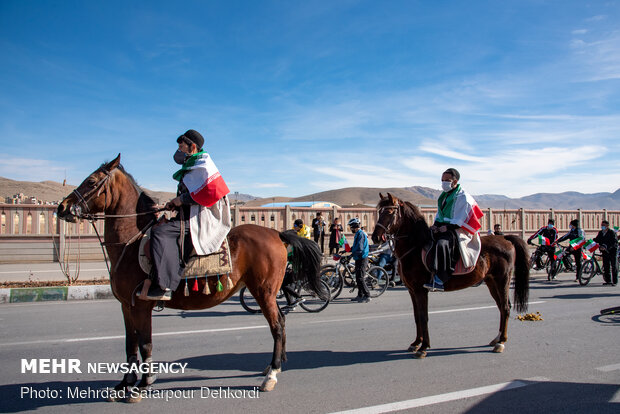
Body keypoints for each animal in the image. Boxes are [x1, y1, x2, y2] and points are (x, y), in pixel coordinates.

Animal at [57, 154, 330, 398]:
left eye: (91, 181)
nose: (62, 207)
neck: (131, 244)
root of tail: (277, 234)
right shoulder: (127, 305)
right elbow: (130, 344)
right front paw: (125, 383)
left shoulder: (142, 305)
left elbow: (145, 342)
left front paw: (143, 384)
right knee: (281, 323)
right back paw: (274, 366)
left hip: (264, 291)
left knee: (277, 325)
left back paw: (271, 374)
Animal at [370, 192, 532, 358]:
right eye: (379, 212)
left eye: (390, 212)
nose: (375, 237)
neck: (415, 247)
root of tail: (505, 238)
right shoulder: (412, 290)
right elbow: (416, 316)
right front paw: (416, 343)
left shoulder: (421, 290)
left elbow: (423, 317)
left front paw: (423, 347)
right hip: (491, 281)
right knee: (501, 306)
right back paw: (497, 339)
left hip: (503, 279)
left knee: (505, 307)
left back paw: (501, 342)